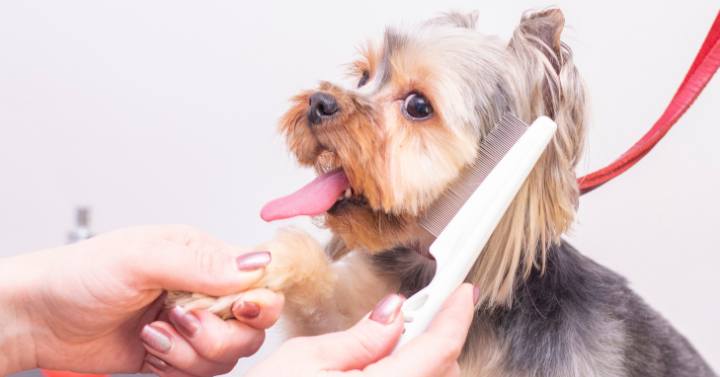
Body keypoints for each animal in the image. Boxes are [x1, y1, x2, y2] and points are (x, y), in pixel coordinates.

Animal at [169, 8, 716, 376]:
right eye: (364, 76)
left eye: (418, 105)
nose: (320, 102)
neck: (427, 263)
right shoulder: (362, 313)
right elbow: (314, 277)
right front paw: (228, 285)